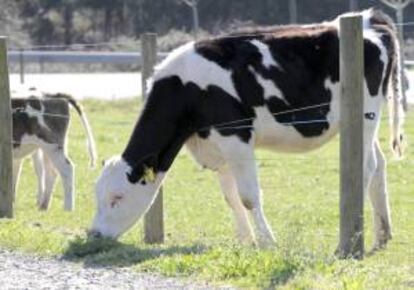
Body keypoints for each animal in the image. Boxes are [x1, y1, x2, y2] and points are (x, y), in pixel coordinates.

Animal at [90, 9, 404, 249]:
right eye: (97, 195)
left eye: (117, 198)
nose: (93, 234)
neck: (187, 90)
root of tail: (370, 18)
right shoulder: (216, 146)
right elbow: (230, 197)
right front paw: (245, 242)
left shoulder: (236, 136)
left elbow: (248, 197)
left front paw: (268, 243)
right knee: (379, 164)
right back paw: (382, 235)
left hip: (365, 114)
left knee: (365, 167)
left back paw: (350, 238)